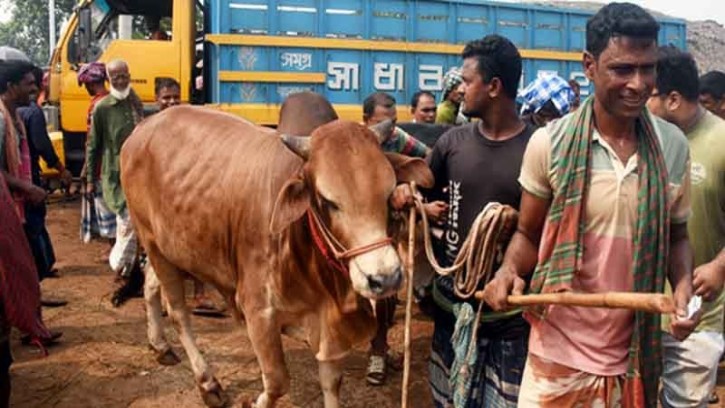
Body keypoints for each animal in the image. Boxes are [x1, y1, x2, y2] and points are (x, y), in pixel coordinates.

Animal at [121, 103, 432, 406]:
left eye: (389, 193)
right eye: (327, 201)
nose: (386, 278)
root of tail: (142, 129)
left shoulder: (326, 323)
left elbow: (331, 383)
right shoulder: (258, 311)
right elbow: (277, 382)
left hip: (167, 246)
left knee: (150, 283)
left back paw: (159, 345)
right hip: (150, 238)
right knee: (178, 313)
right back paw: (208, 384)